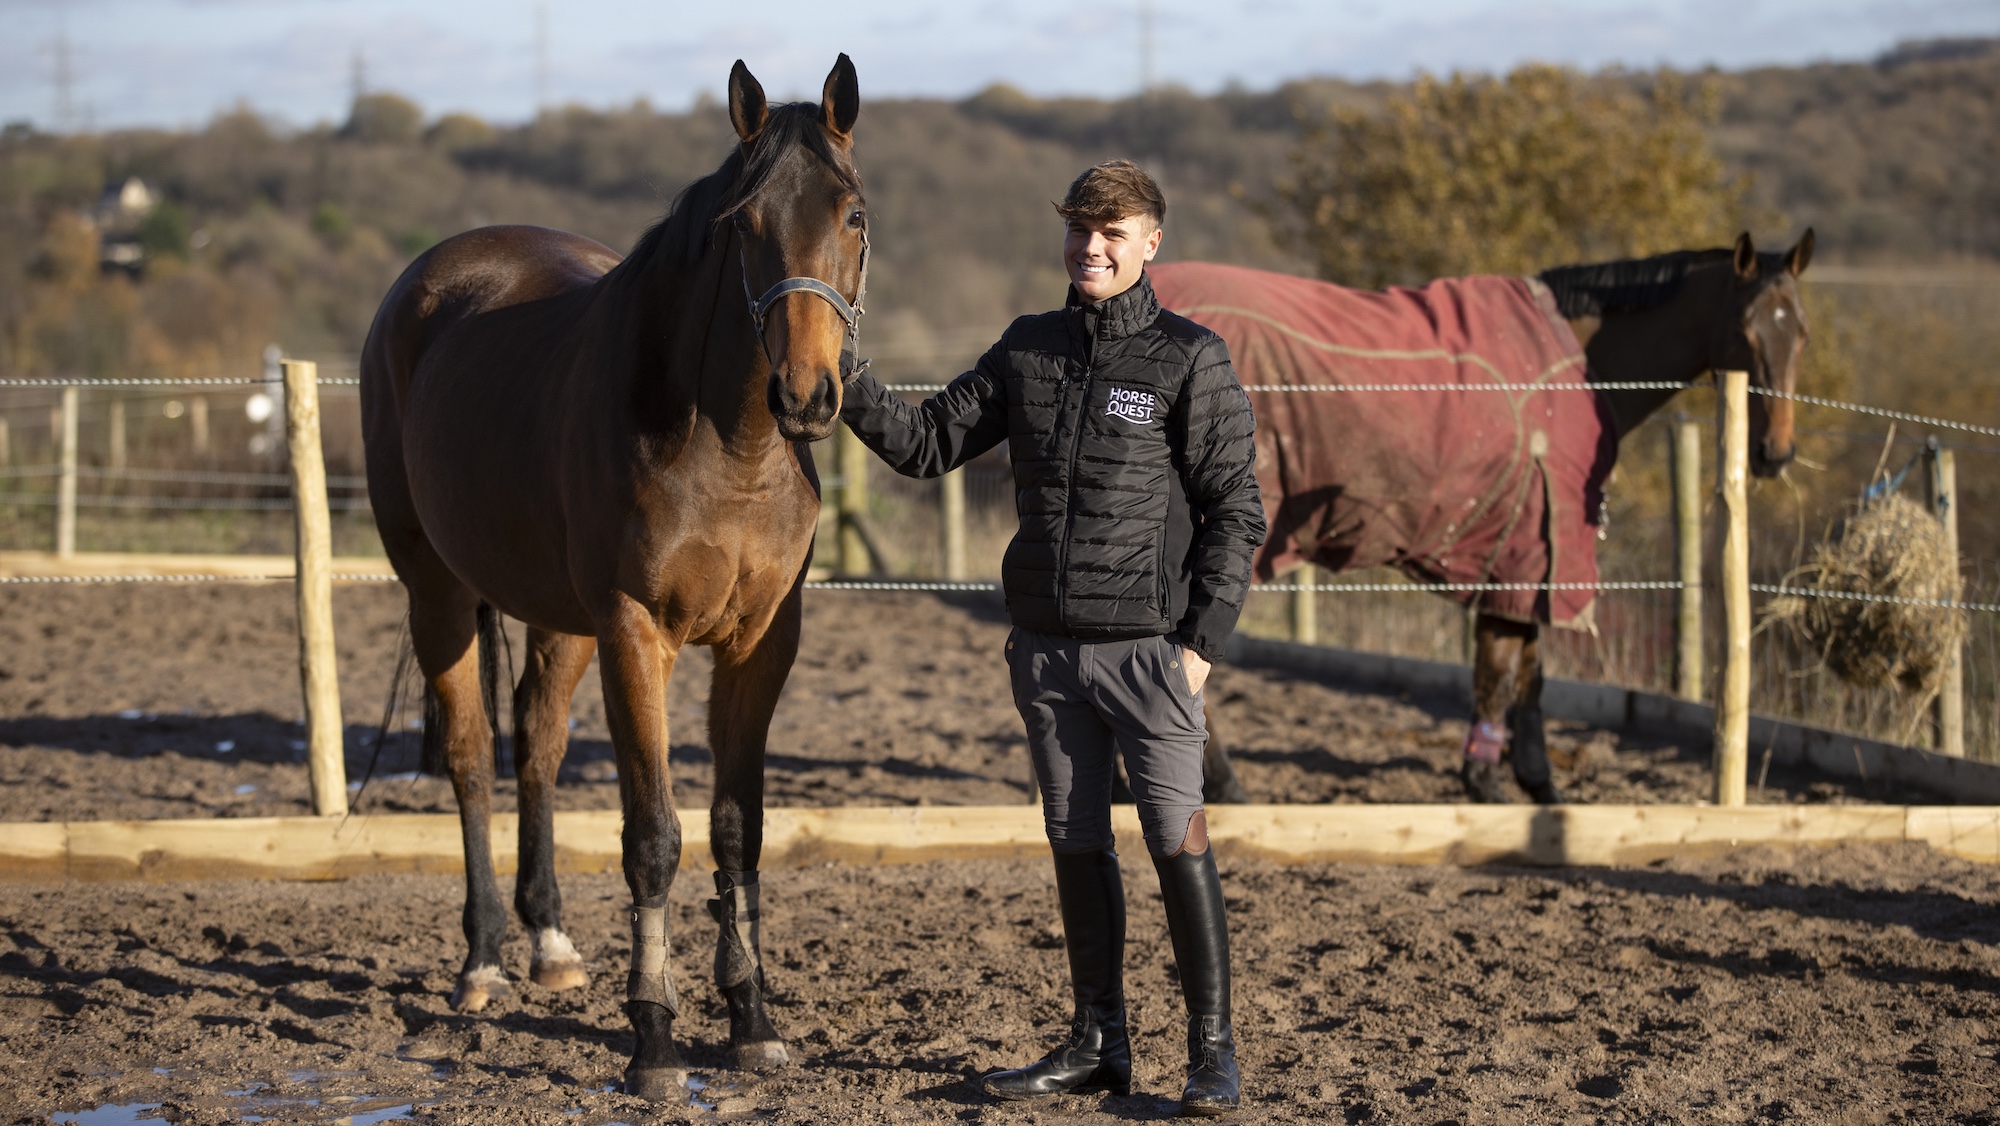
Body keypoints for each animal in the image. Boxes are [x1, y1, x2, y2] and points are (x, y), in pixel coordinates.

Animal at [360, 56, 866, 1098]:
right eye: (744, 223)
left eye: (852, 214)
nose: (806, 395)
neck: (727, 446)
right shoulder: (639, 631)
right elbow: (654, 837)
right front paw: (656, 1040)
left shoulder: (761, 645)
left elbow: (735, 829)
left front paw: (751, 1022)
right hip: (437, 591)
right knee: (471, 757)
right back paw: (483, 963)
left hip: (559, 617)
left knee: (539, 745)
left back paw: (548, 943)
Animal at [1157, 231, 1814, 805]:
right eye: (1746, 329)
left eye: (1801, 331)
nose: (1775, 452)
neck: (1579, 368)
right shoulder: (1528, 545)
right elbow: (1503, 667)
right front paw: (1491, 779)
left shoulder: (1527, 560)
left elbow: (1528, 670)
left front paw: (1532, 780)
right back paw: (1225, 785)